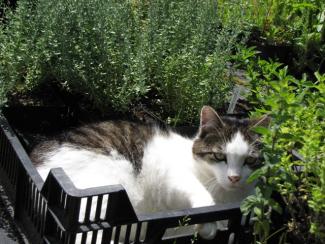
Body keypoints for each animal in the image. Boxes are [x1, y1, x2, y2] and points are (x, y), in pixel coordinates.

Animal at [30, 106, 266, 241]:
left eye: (250, 160)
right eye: (219, 156)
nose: (234, 178)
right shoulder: (172, 176)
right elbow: (204, 200)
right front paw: (208, 225)